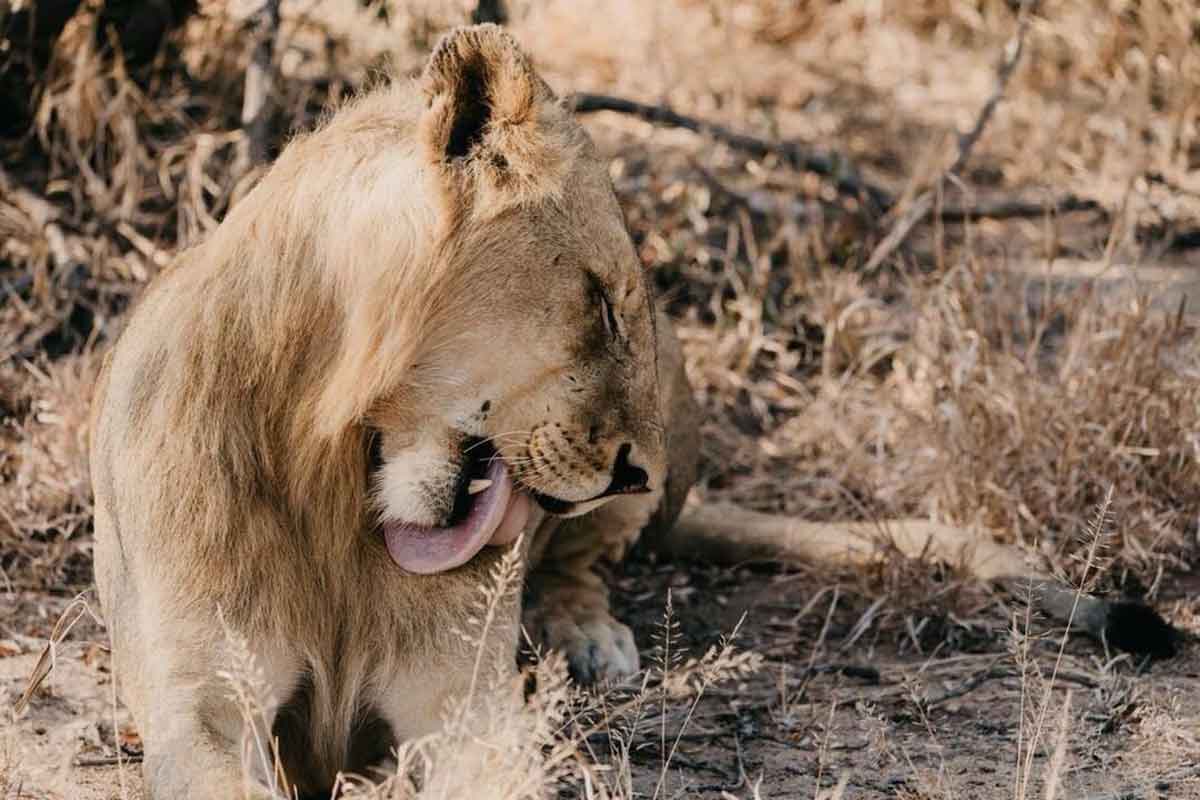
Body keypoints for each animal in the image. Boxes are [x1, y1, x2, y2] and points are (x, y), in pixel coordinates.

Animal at [88, 23, 1176, 799]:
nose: (640, 470)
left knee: (582, 561)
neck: (327, 476)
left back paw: (588, 636)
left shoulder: (464, 704)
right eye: (603, 304)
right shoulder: (201, 706)